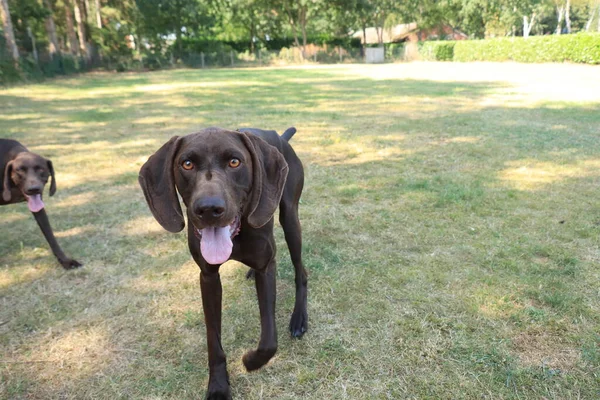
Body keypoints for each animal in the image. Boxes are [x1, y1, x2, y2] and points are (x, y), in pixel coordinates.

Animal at [1, 138, 82, 268]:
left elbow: (50, 235)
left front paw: (65, 261)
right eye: (20, 170)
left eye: (40, 169)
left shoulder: (39, 207)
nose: (33, 189)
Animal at [140, 126, 308, 398]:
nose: (208, 209)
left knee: (301, 272)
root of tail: (281, 137)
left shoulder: (265, 267)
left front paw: (250, 361)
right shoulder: (208, 277)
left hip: (291, 219)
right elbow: (214, 340)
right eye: (187, 164)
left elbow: (269, 340)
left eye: (234, 162)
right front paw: (218, 386)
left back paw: (299, 318)